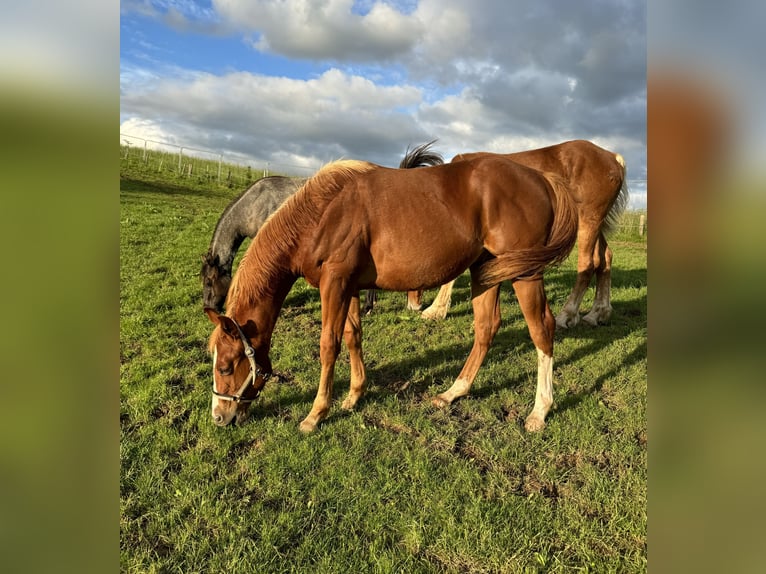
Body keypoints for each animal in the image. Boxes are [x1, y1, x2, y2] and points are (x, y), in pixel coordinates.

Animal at [204, 155, 576, 434]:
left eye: (226, 366)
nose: (219, 417)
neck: (322, 213)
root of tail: (541, 178)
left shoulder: (334, 284)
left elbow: (328, 345)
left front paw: (316, 414)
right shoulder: (350, 287)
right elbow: (353, 336)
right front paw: (354, 395)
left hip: (525, 274)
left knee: (542, 329)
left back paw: (540, 411)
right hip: (486, 272)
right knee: (486, 328)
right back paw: (453, 393)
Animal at [416, 140, 628, 328]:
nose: (414, 305)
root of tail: (612, 158)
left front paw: (435, 310)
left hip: (587, 221)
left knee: (587, 263)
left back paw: (567, 315)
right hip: (596, 224)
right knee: (605, 258)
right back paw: (598, 313)